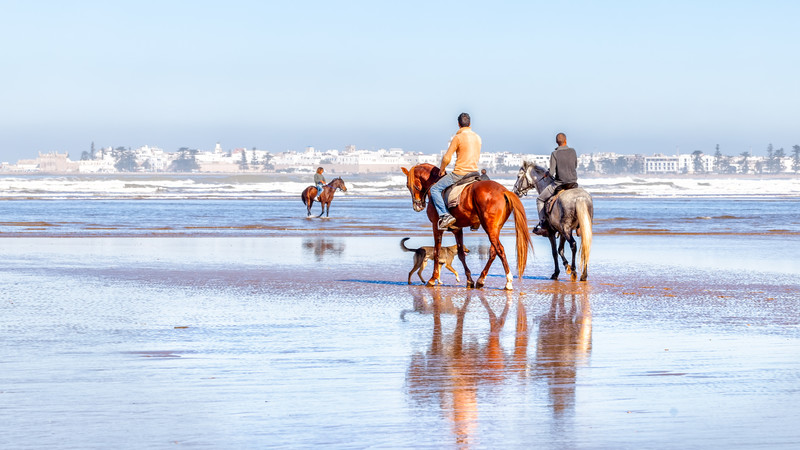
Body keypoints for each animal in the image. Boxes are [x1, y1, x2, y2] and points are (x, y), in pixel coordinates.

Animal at [401, 164, 532, 290]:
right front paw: (469, 280)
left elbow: (436, 252)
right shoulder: (457, 229)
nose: (417, 205)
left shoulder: (436, 227)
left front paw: (433, 279)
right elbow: (460, 254)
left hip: (489, 227)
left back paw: (508, 281)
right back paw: (481, 279)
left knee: (500, 250)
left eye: (408, 185)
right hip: (495, 229)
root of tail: (504, 191)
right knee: (493, 252)